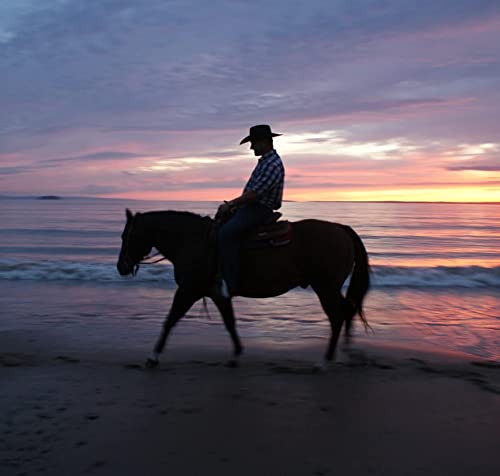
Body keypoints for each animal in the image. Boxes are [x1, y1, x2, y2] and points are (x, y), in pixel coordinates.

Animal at [115, 209, 370, 368]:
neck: (192, 241)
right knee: (348, 309)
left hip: (325, 287)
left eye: (126, 235)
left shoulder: (189, 290)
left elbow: (170, 320)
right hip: (329, 288)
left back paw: (325, 360)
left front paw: (153, 357)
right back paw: (347, 351)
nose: (121, 267)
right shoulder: (217, 294)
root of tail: (341, 229)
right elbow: (230, 322)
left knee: (337, 316)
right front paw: (236, 355)